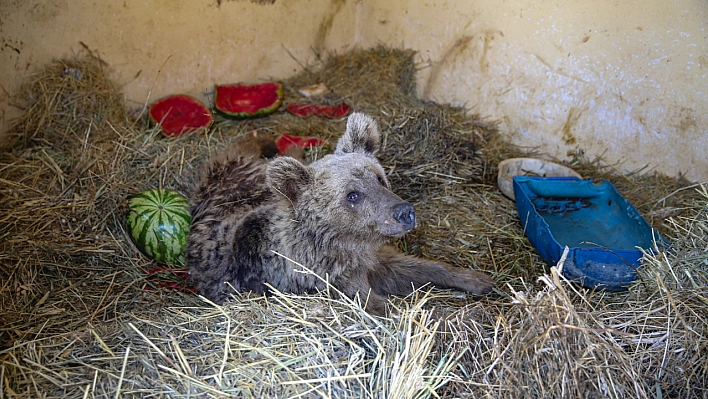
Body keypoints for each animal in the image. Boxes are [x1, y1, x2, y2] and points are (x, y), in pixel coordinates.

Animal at [185, 112, 496, 316]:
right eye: (353, 195)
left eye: (379, 178)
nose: (405, 212)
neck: (345, 244)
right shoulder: (330, 279)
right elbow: (376, 302)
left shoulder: (372, 257)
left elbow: (414, 266)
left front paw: (475, 279)